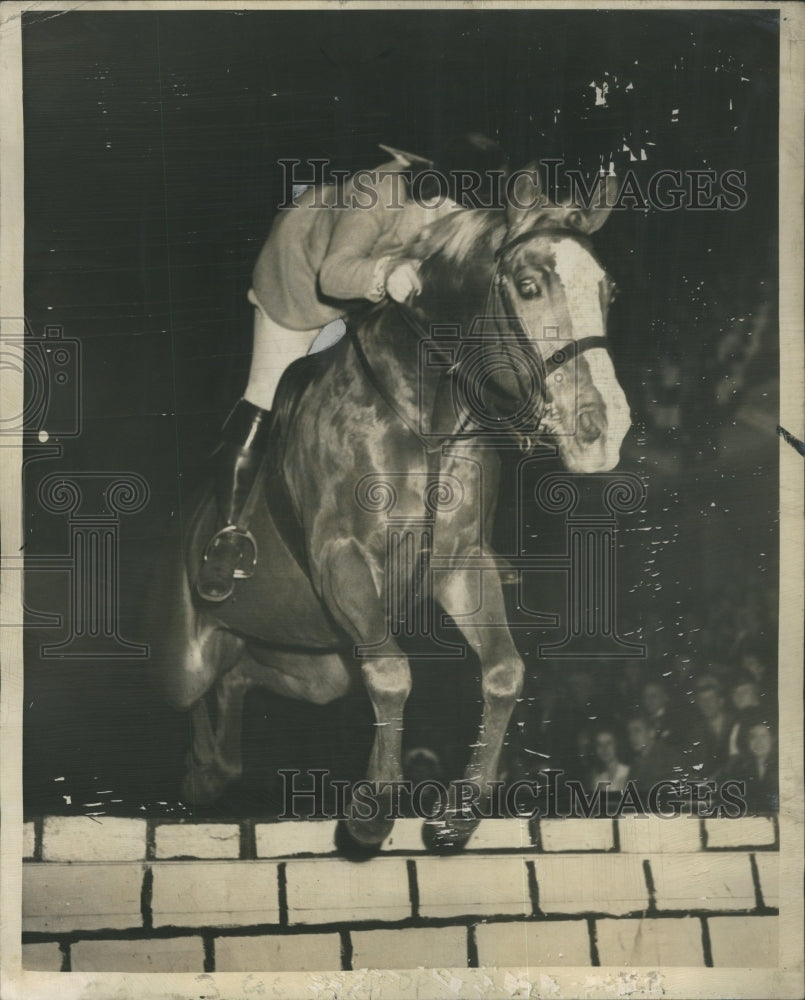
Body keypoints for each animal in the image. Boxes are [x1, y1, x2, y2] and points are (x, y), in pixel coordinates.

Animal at [149, 166, 628, 852]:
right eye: (529, 287)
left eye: (608, 291)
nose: (602, 433)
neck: (427, 411)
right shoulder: (342, 559)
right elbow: (394, 675)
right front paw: (372, 811)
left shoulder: (458, 564)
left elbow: (503, 672)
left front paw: (457, 815)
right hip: (184, 654)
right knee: (194, 687)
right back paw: (202, 765)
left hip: (313, 660)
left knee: (244, 676)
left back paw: (216, 767)